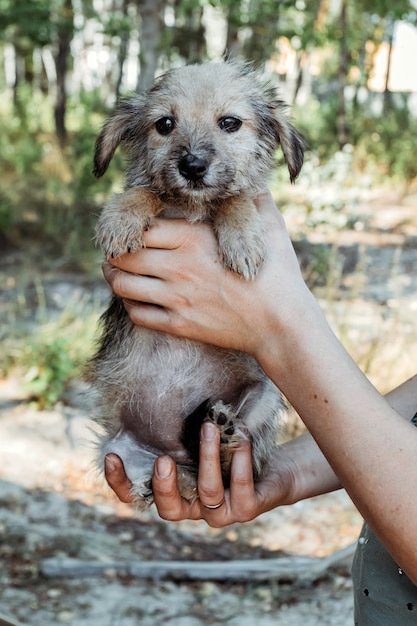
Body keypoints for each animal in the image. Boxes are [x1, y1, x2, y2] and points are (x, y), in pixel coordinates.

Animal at [90, 59, 302, 508]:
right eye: (165, 124)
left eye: (230, 123)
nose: (192, 166)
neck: (192, 207)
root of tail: (171, 452)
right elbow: (147, 191)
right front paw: (122, 216)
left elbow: (235, 197)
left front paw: (242, 235)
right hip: (119, 452)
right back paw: (184, 479)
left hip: (263, 396)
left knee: (231, 464)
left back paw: (219, 442)